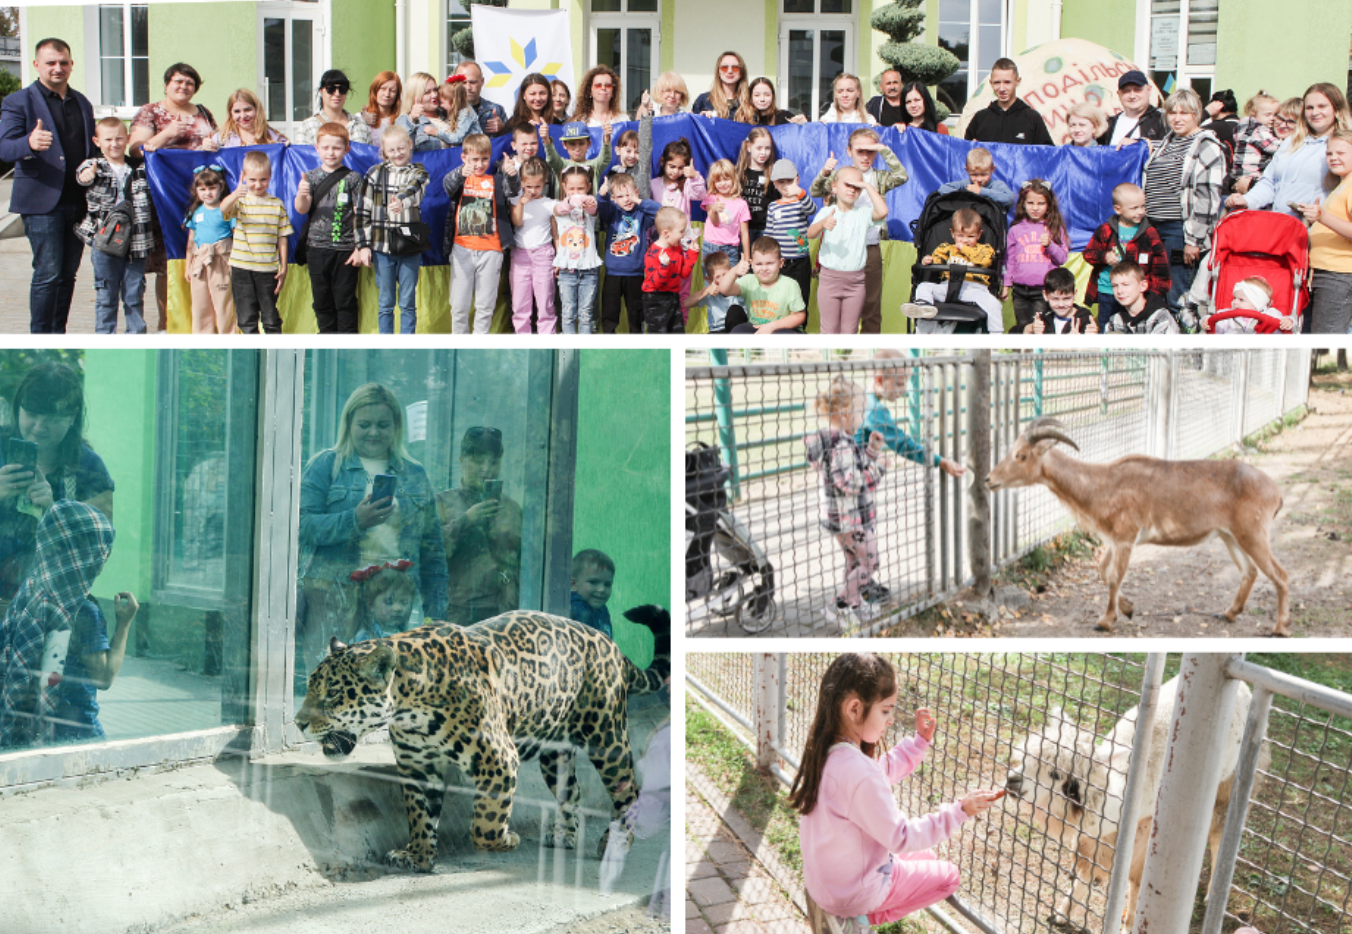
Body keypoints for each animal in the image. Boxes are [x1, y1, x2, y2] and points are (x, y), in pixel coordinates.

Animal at [984, 416, 1287, 635]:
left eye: (1021, 455)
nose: (989, 480)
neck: (1102, 484)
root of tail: (1276, 492)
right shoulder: (1112, 541)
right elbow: (1103, 571)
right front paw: (1128, 609)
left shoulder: (1125, 538)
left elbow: (1114, 577)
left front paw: (1105, 621)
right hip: (1230, 536)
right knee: (1250, 571)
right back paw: (1228, 613)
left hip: (1253, 534)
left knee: (1279, 575)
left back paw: (1280, 628)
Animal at [1005, 675, 1254, 929]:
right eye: (1025, 757)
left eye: (1055, 774)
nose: (1012, 781)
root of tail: (1243, 687)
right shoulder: (1104, 837)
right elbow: (1089, 867)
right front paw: (1062, 913)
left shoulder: (1148, 832)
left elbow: (1137, 881)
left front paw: (1130, 923)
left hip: (1228, 782)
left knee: (1219, 831)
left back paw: (1212, 894)